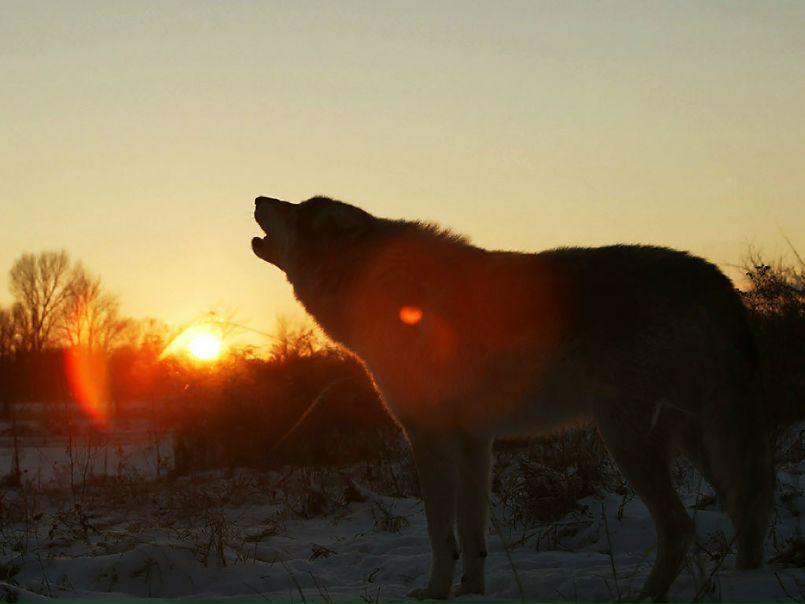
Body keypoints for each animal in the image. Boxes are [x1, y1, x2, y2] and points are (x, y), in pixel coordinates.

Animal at [251, 195, 774, 601]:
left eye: (295, 207)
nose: (257, 197)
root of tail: (715, 280)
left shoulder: (429, 436)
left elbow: (440, 531)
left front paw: (434, 592)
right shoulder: (473, 440)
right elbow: (472, 532)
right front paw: (470, 591)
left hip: (627, 438)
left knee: (681, 527)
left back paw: (644, 597)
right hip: (698, 439)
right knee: (748, 504)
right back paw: (745, 580)